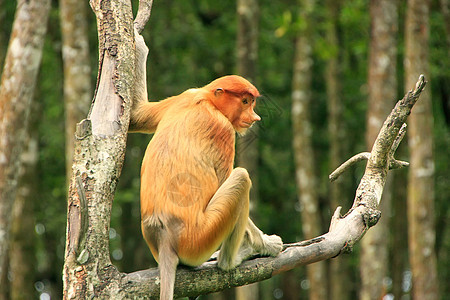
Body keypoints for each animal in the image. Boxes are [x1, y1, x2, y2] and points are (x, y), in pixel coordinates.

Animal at [129, 32, 282, 300]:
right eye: (245, 101)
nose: (255, 118)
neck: (207, 101)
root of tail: (163, 235)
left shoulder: (186, 94)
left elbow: (138, 116)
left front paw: (138, 44)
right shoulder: (223, 129)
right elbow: (224, 178)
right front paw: (266, 244)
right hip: (200, 238)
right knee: (241, 178)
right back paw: (231, 260)